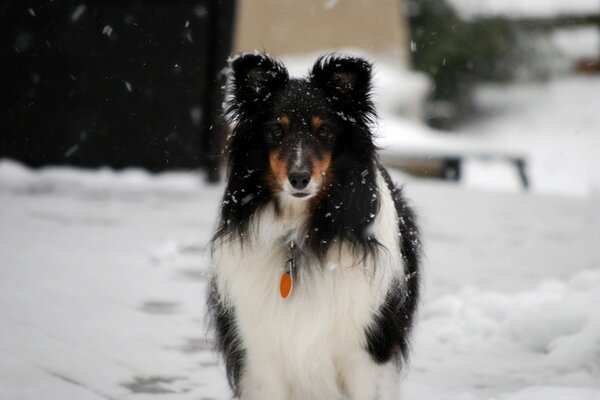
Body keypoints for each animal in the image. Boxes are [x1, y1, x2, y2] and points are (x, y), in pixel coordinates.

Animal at [209, 54, 420, 400]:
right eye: (275, 130)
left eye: (324, 131)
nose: (299, 178)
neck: (299, 232)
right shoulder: (261, 355)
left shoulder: (366, 351)